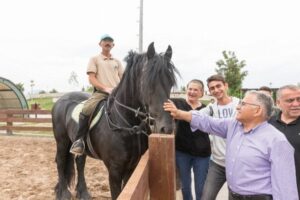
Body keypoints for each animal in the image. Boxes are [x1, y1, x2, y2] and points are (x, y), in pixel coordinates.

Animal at [51, 42, 179, 200]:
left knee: (79, 162)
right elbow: (116, 193)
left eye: (170, 82)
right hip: (62, 141)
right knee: (60, 162)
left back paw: (83, 193)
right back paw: (63, 193)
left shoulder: (132, 167)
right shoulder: (114, 170)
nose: (166, 128)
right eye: (149, 83)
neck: (127, 125)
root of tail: (61, 99)